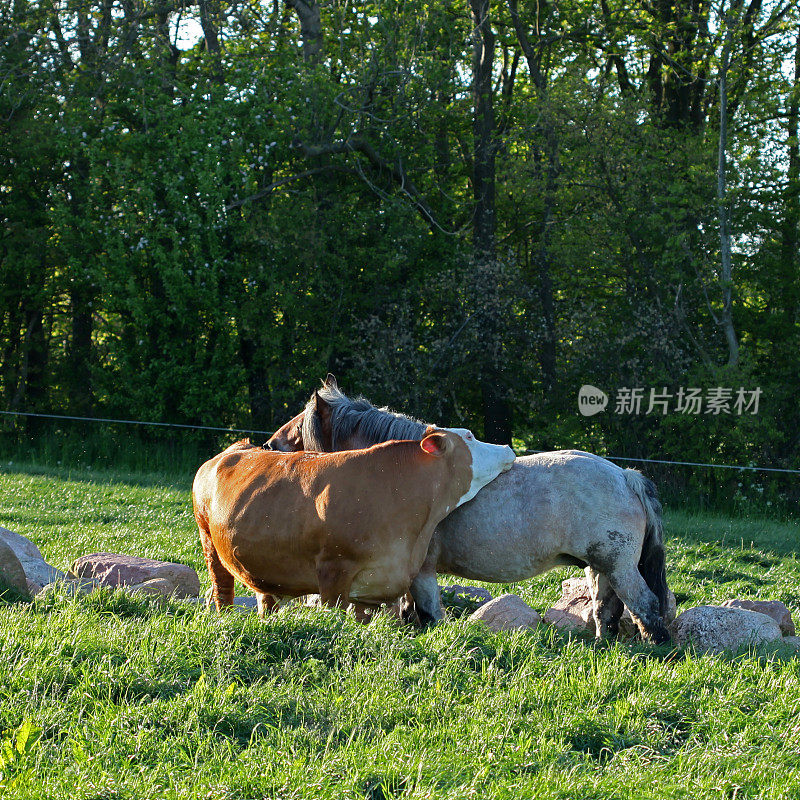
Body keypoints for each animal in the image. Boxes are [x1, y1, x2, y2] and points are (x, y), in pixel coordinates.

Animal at [197, 428, 516, 616]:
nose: (507, 447)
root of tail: (237, 448)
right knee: (222, 591)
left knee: (266, 600)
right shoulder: (333, 572)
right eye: (470, 437)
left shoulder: (378, 587)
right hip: (209, 542)